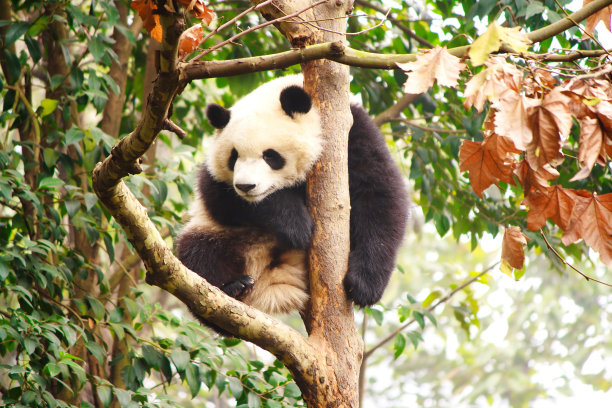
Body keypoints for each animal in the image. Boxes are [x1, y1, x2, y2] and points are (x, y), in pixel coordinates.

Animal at [176, 74, 406, 328]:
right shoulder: (217, 182)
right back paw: (233, 287)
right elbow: (221, 199)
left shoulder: (353, 133)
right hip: (217, 234)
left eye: (270, 155)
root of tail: (271, 283)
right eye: (233, 157)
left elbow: (378, 196)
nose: (246, 186)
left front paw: (364, 287)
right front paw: (297, 227)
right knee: (196, 255)